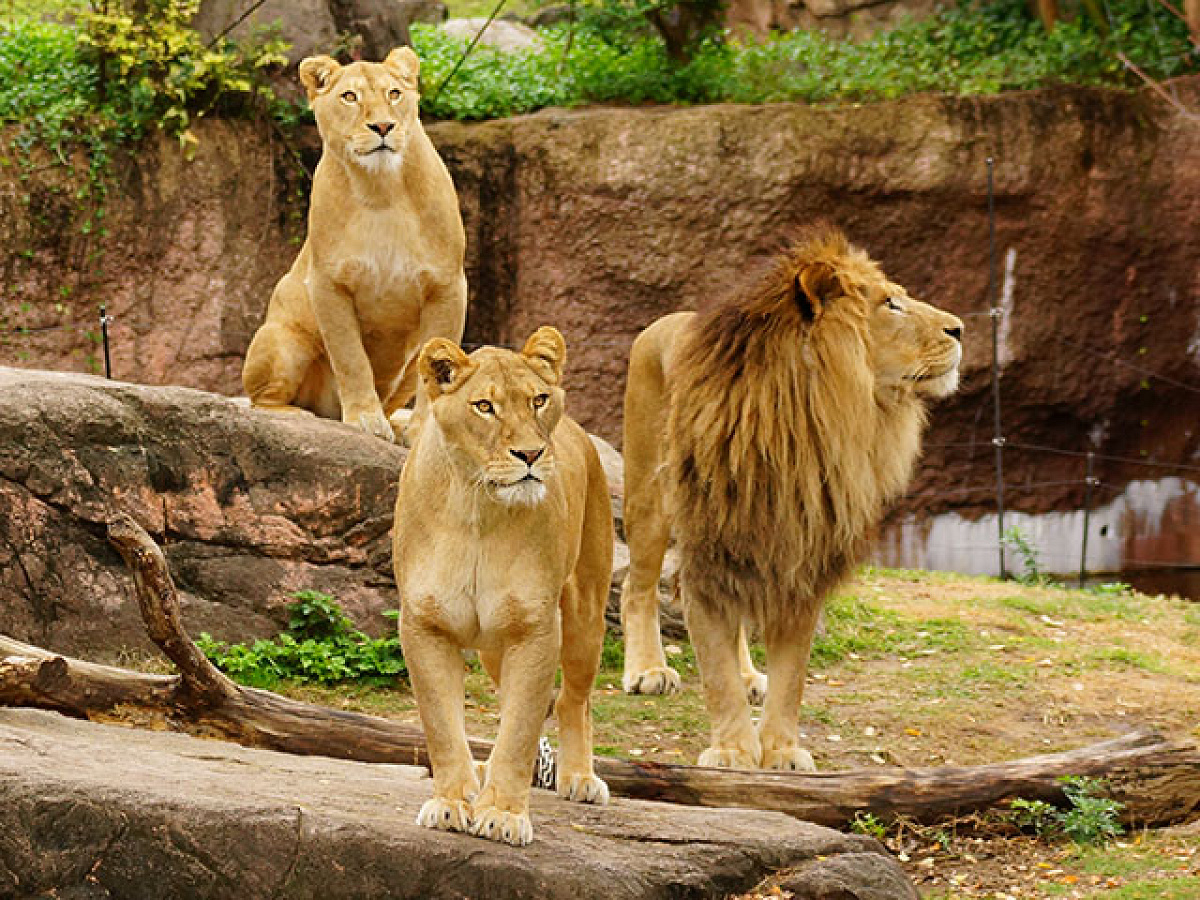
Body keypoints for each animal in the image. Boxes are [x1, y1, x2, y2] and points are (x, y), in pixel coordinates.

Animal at [241, 48, 465, 444]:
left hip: (405, 370)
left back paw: (395, 424)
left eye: (394, 94)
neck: (382, 189)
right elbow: (350, 357)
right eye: (350, 97)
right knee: (262, 401)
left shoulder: (449, 286)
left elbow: (437, 370)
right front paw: (364, 419)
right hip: (281, 339)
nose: (383, 127)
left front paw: (421, 431)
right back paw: (300, 416)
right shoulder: (328, 283)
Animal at [396, 328, 614, 849]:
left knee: (573, 700)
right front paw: (452, 802)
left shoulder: (534, 629)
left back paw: (580, 777)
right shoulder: (424, 624)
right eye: (484, 407)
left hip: (584, 616)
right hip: (495, 646)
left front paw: (502, 814)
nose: (531, 455)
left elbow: (520, 730)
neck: (478, 509)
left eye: (538, 400)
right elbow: (442, 724)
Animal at [619, 229, 964, 772]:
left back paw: (748, 677)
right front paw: (733, 751)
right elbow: (714, 669)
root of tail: (663, 321)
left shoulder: (802, 556)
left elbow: (791, 674)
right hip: (649, 500)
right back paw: (648, 670)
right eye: (891, 303)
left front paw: (780, 750)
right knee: (637, 586)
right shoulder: (707, 547)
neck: (808, 424)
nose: (960, 329)